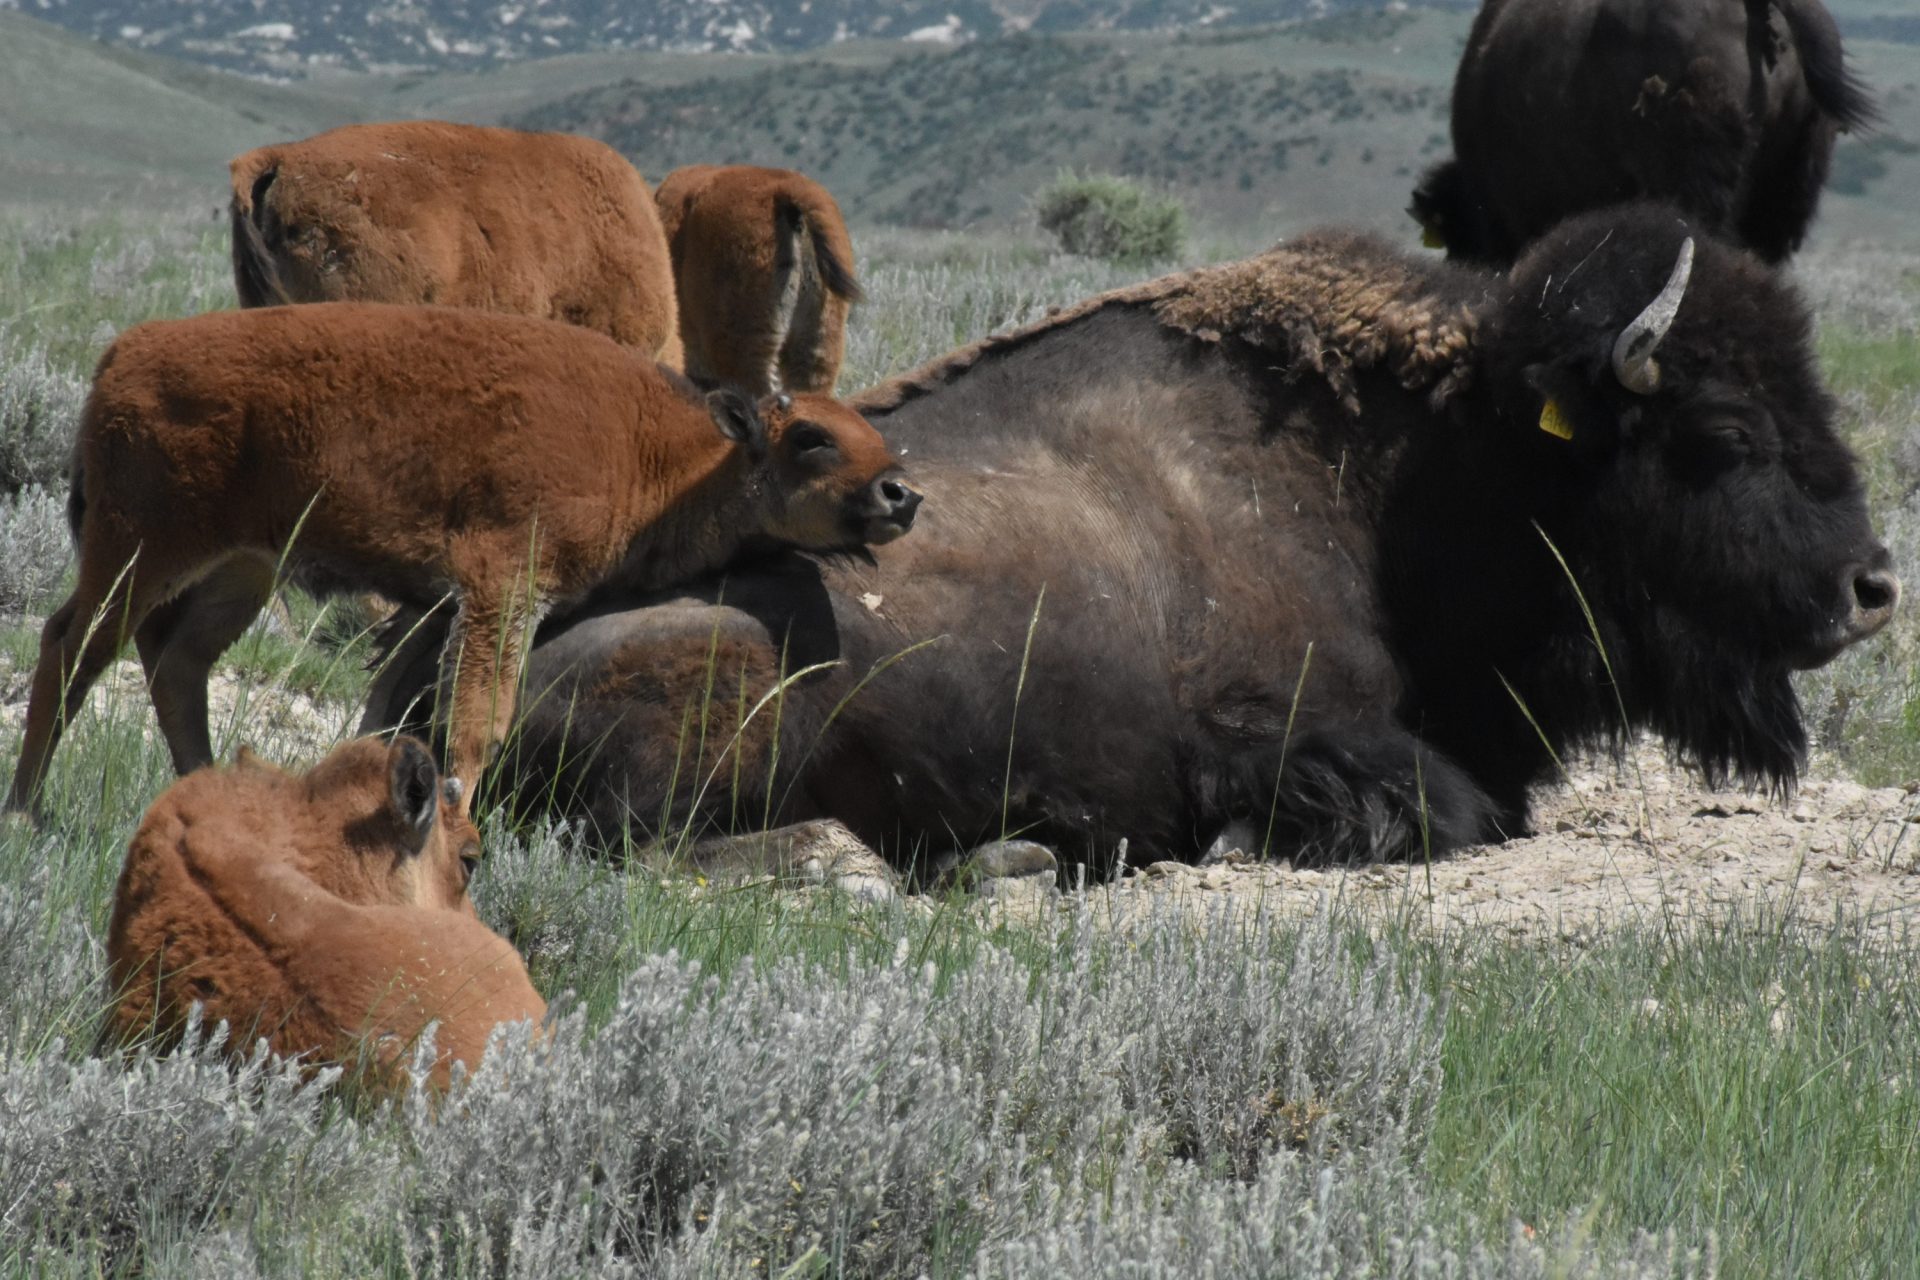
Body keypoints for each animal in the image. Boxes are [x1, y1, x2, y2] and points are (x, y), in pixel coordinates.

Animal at [369, 204, 1896, 872]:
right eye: (1723, 432)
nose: (1871, 585)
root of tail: (412, 672)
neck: (1419, 467)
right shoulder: (1290, 737)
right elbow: (1430, 808)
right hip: (721, 684)